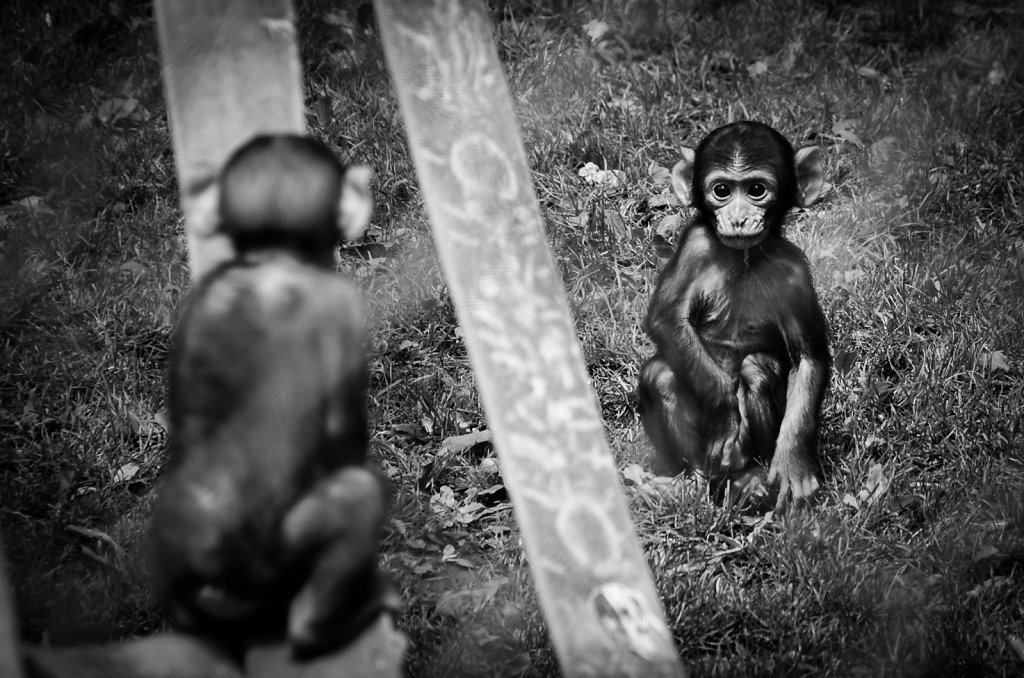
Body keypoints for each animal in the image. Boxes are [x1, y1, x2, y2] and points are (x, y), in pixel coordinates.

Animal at [148, 134, 395, 656]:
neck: (272, 257)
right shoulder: (342, 307)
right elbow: (343, 430)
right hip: (276, 563)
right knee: (357, 499)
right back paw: (328, 622)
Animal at [638, 121, 830, 512]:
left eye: (756, 190)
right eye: (722, 190)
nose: (738, 217)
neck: (743, 258)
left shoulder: (795, 271)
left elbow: (808, 356)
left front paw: (793, 461)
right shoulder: (694, 245)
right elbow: (668, 318)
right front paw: (725, 415)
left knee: (759, 367)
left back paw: (751, 479)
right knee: (660, 374)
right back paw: (691, 482)